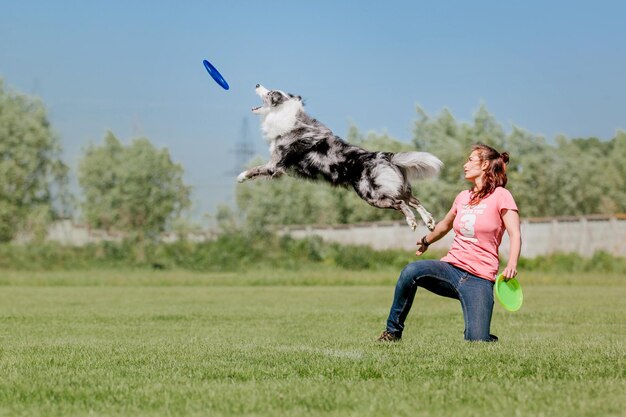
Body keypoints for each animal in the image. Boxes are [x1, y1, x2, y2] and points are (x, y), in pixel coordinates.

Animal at [236, 82, 442, 229]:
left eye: (270, 93)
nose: (257, 84)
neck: (284, 115)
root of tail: (384, 156)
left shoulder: (274, 165)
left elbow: (256, 169)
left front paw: (240, 177)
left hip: (372, 195)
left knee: (401, 204)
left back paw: (412, 221)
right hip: (394, 187)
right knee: (414, 200)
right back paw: (429, 222)